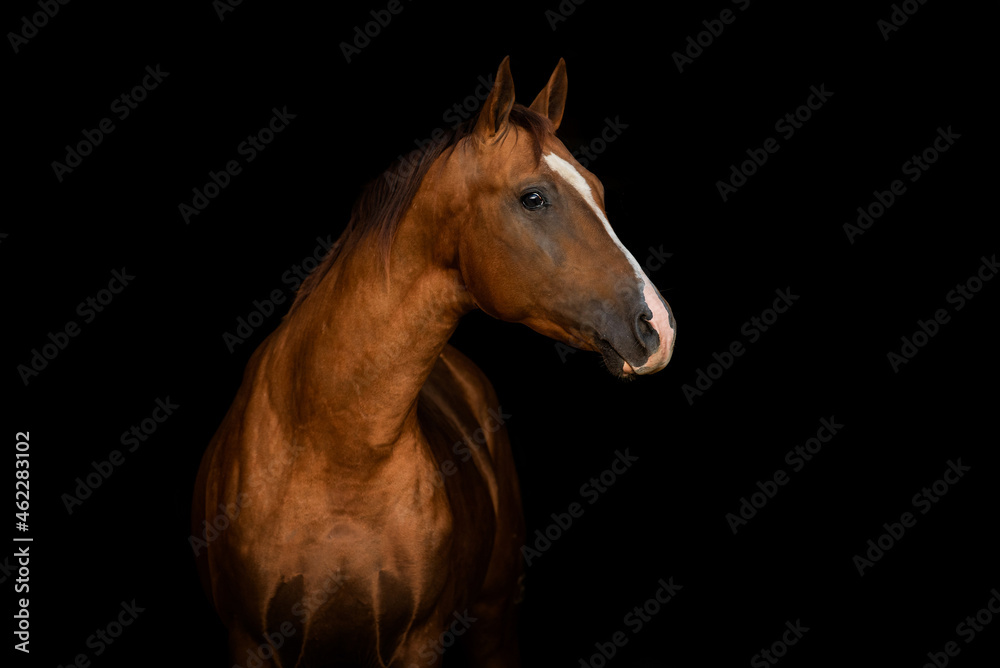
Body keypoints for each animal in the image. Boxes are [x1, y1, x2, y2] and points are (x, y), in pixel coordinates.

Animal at [192, 56, 676, 667]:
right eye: (533, 198)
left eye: (599, 189)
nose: (658, 327)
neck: (335, 455)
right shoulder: (251, 644)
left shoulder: (418, 643)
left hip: (494, 623)